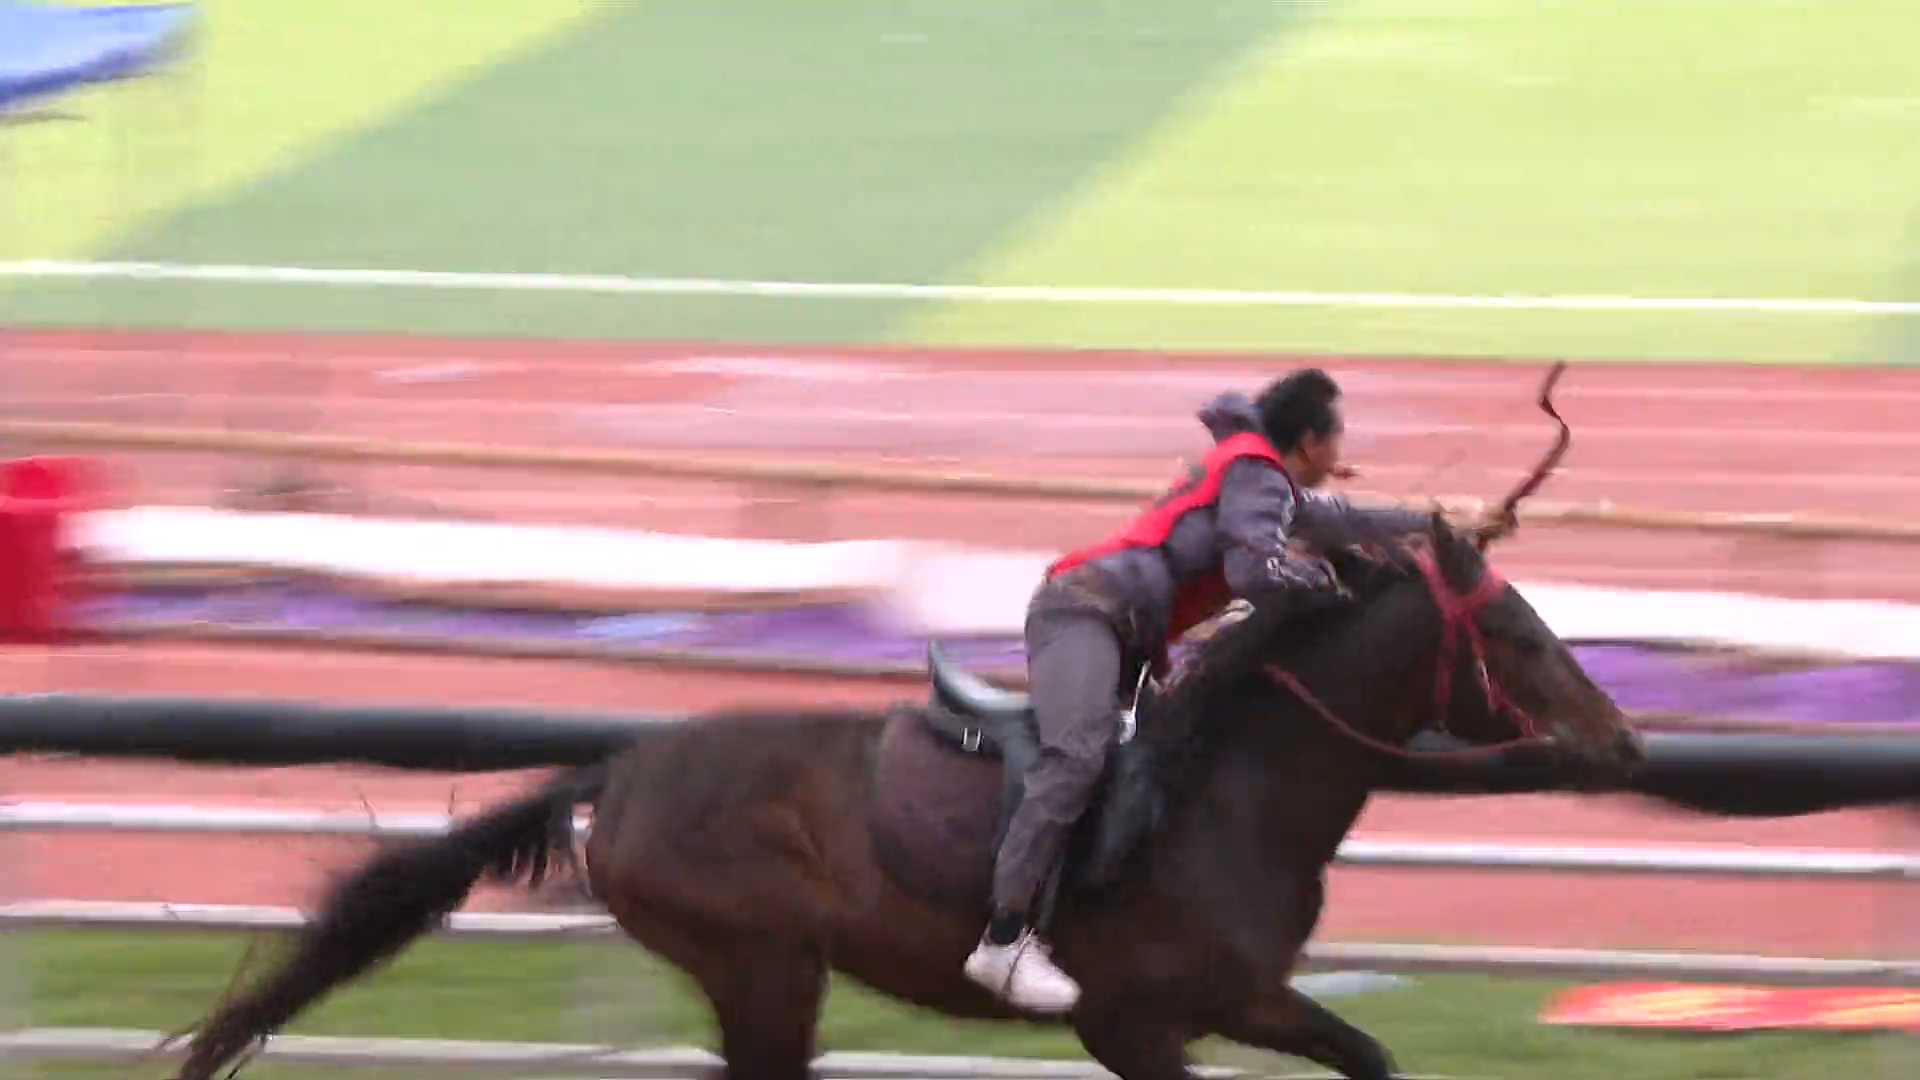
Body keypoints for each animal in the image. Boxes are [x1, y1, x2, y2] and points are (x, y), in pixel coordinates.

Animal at [165, 367, 1643, 1076]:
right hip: (764, 965)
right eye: (1517, 636)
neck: (1229, 797)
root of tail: (619, 772)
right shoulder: (1140, 1021)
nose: (1626, 743)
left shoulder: (1248, 1000)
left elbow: (1373, 1052)